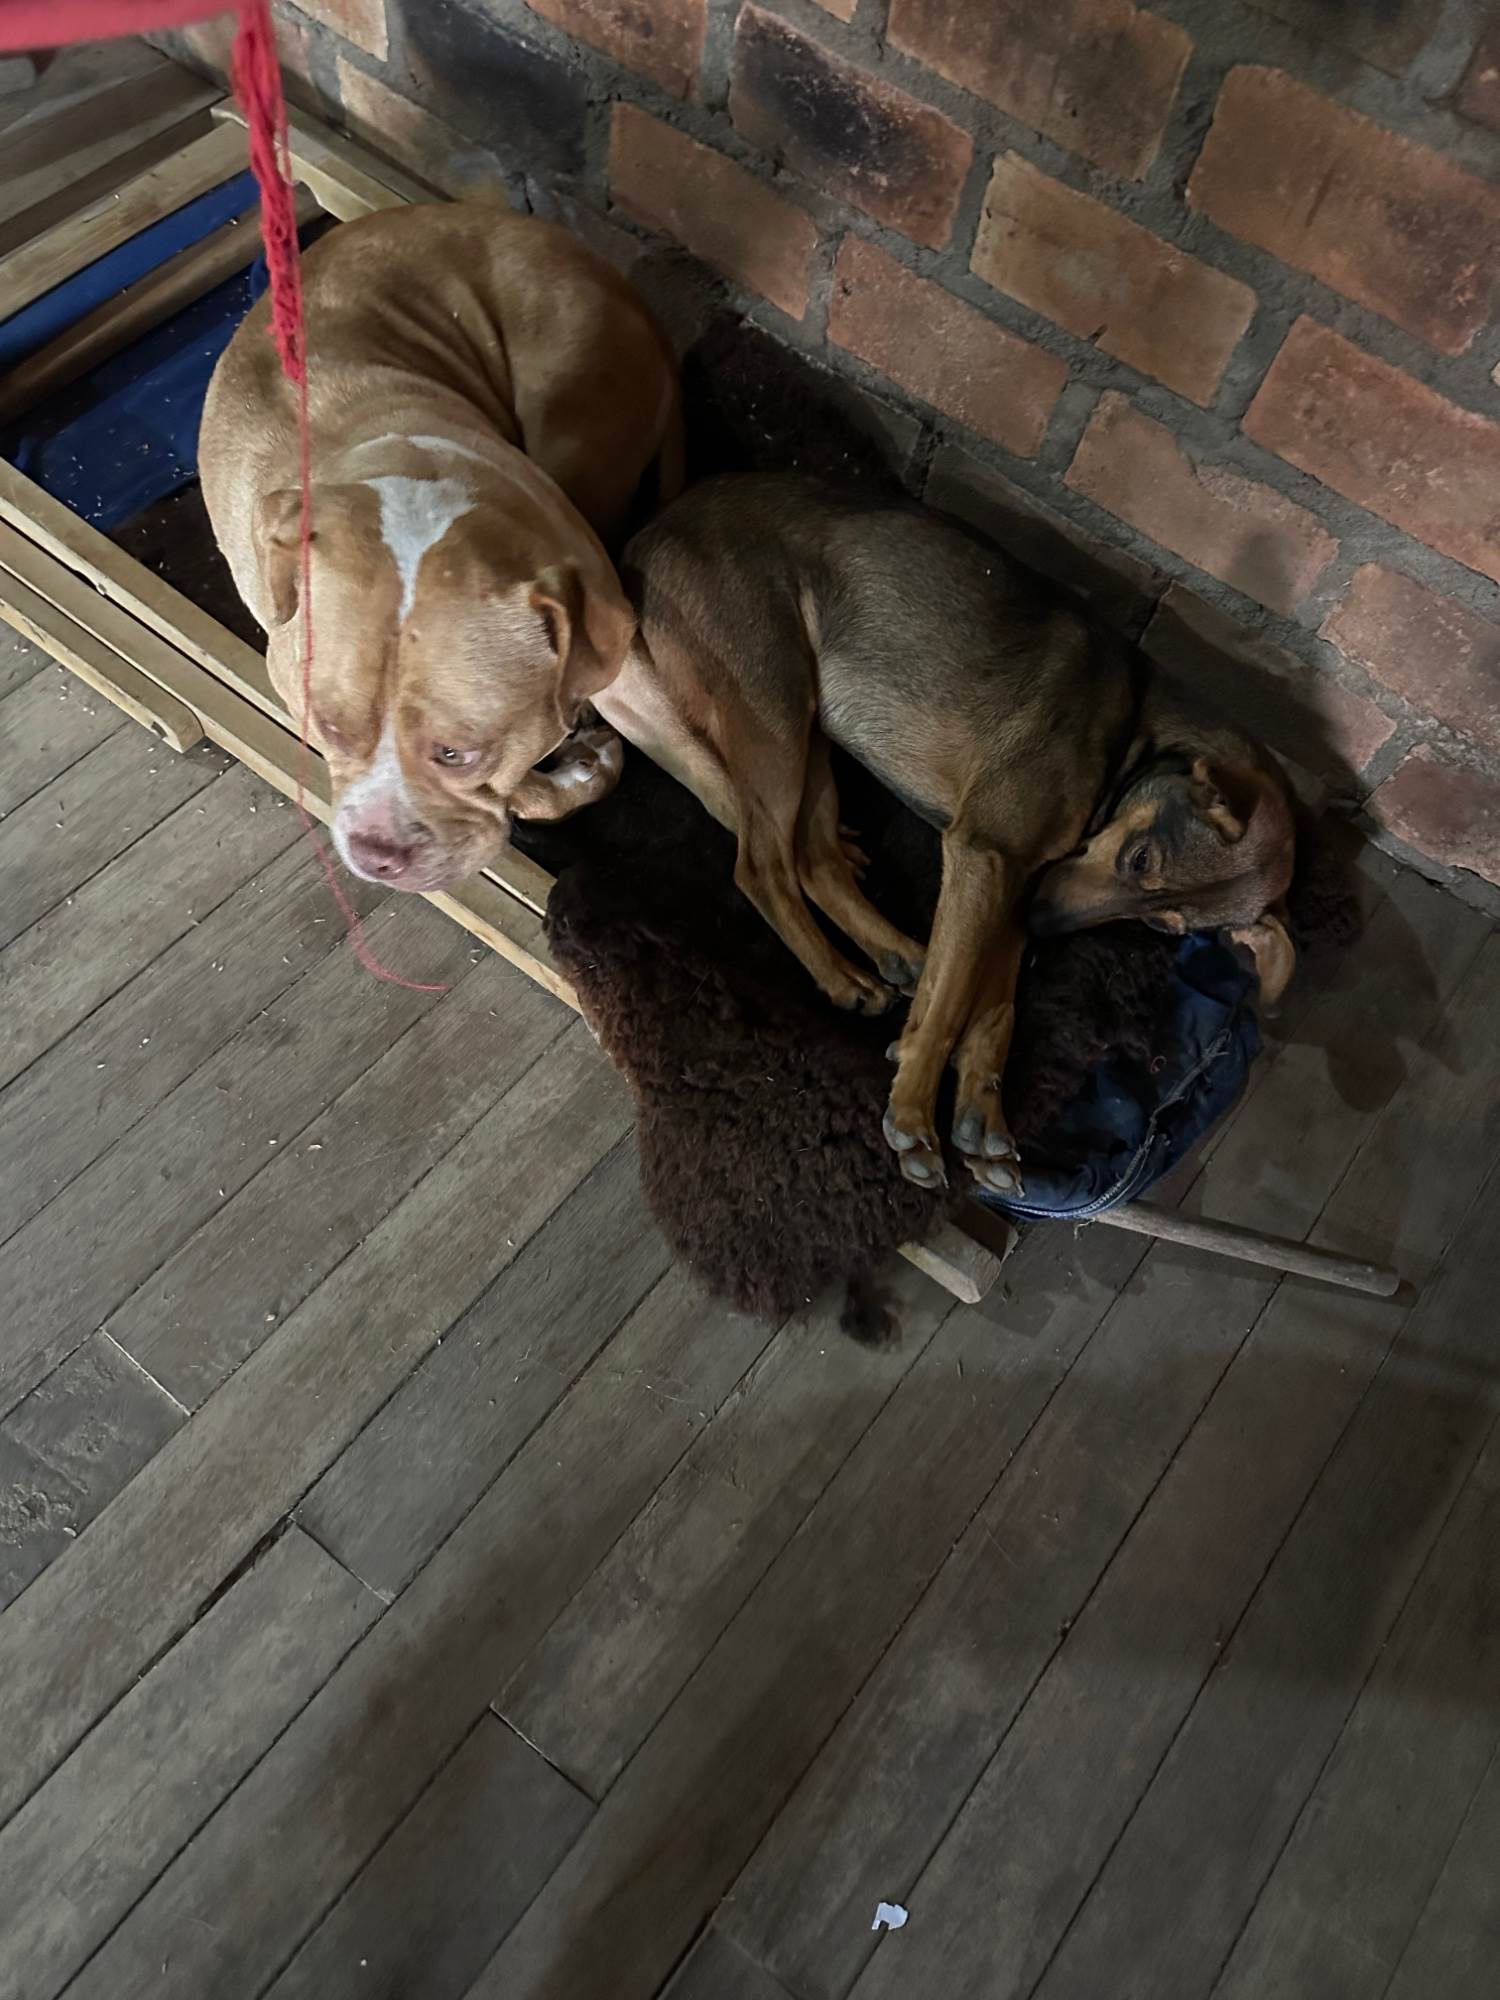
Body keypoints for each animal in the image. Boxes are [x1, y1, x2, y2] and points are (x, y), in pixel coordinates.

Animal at [595, 474, 1297, 1196]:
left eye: (1161, 927)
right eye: (1139, 858)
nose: (1044, 923)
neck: (1130, 733)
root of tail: (653, 529)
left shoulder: (1011, 882)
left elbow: (990, 1011)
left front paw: (980, 1115)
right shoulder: (987, 856)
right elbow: (951, 1002)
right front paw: (912, 1110)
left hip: (811, 728)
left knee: (813, 858)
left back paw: (891, 954)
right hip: (774, 710)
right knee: (761, 867)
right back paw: (839, 976)